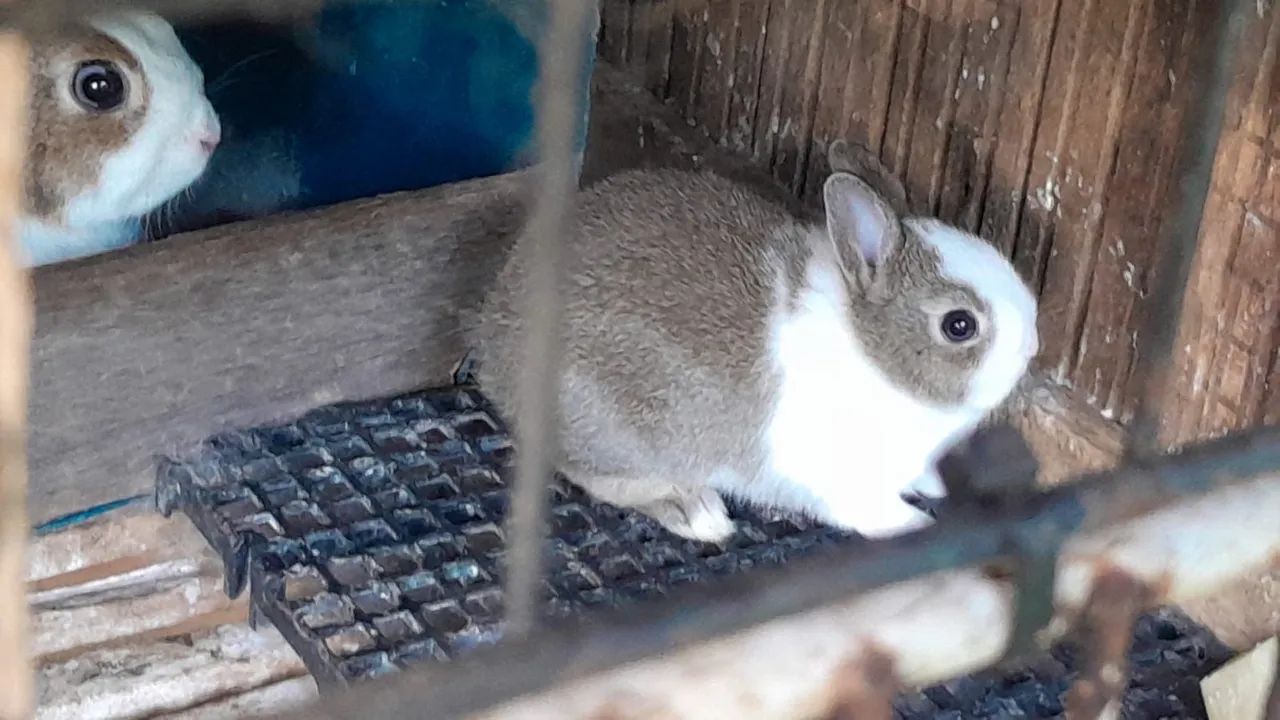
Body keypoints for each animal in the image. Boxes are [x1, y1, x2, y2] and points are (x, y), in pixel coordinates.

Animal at [471, 162, 1039, 544]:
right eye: (959, 325)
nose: (1033, 345)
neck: (871, 352)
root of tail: (495, 344)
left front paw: (934, 489)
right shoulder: (836, 478)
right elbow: (870, 509)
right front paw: (916, 523)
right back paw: (696, 511)